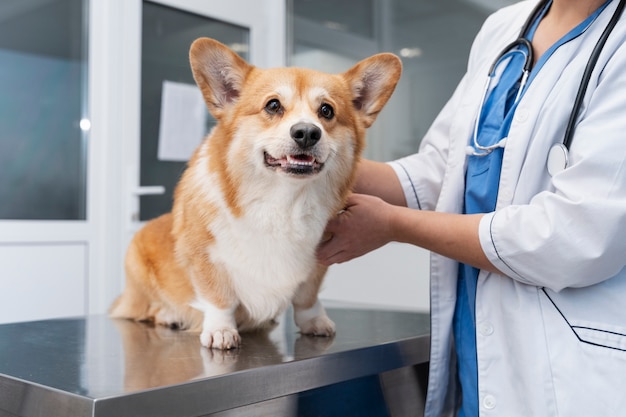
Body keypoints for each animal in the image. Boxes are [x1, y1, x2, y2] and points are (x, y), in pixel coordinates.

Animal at [109, 37, 400, 350]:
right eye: (273, 105)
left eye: (327, 111)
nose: (307, 133)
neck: (283, 200)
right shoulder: (205, 257)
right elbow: (219, 298)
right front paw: (221, 330)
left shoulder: (318, 262)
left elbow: (307, 298)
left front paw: (315, 321)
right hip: (136, 267)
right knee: (145, 309)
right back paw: (169, 316)